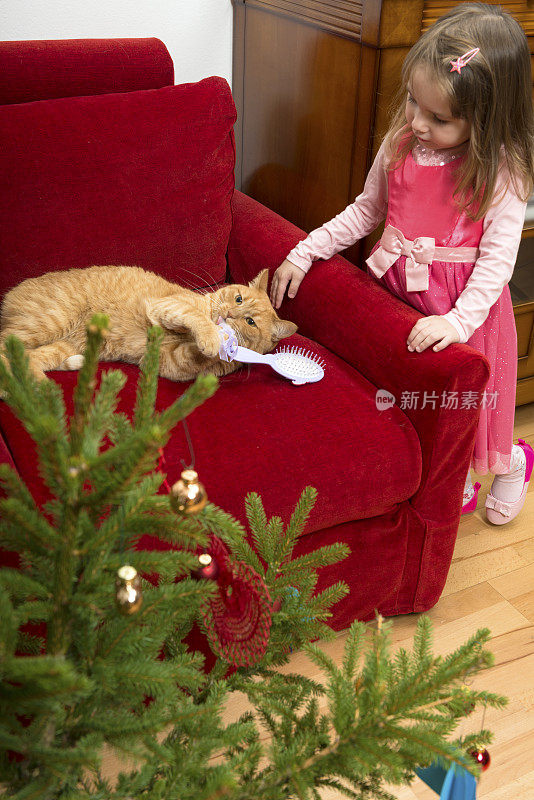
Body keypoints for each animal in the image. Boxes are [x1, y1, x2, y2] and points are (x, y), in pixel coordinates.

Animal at [0, 266, 298, 382]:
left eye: (250, 322)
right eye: (237, 298)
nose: (228, 315)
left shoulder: (169, 362)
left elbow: (196, 356)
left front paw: (220, 347)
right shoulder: (165, 307)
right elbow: (197, 318)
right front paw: (213, 336)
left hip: (62, 346)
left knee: (28, 360)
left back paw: (39, 386)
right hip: (48, 322)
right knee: (5, 349)